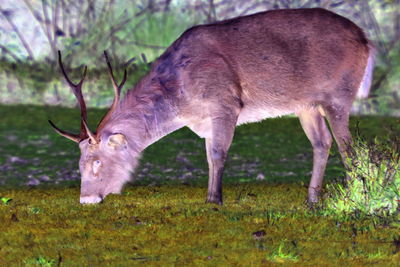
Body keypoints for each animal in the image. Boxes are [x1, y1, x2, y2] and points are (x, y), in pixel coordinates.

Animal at [48, 8, 374, 205]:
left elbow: (218, 154)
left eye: (97, 162)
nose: (86, 199)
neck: (181, 101)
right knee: (323, 142)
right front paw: (210, 195)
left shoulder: (225, 102)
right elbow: (208, 156)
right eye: (78, 165)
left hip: (339, 94)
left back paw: (357, 195)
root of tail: (367, 41)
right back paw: (312, 198)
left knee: (349, 146)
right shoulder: (204, 121)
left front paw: (214, 200)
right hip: (306, 105)